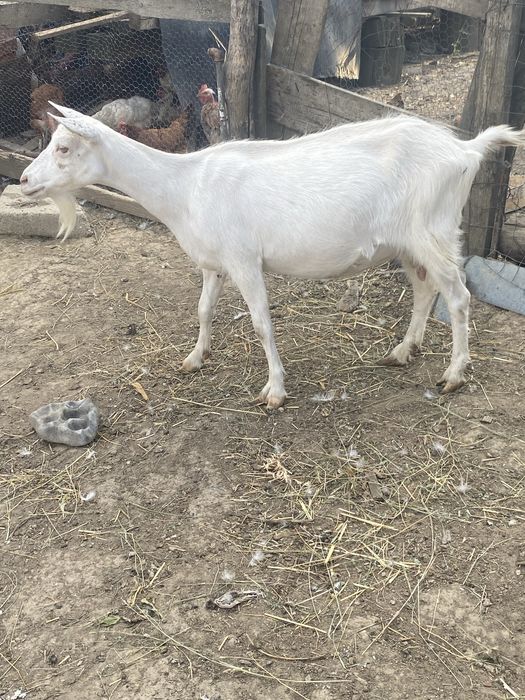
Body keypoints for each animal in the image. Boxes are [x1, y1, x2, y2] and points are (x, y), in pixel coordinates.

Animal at [20, 104, 525, 408]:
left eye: (63, 147)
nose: (24, 180)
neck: (185, 185)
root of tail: (465, 149)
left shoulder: (244, 260)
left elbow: (262, 323)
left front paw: (275, 391)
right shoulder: (215, 263)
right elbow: (203, 309)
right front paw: (195, 358)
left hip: (433, 231)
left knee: (457, 297)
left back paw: (454, 374)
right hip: (408, 241)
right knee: (424, 290)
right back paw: (402, 351)